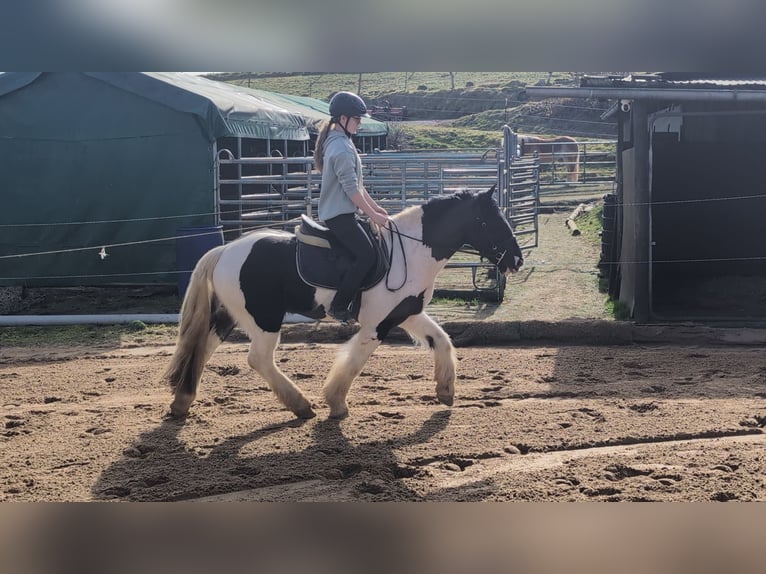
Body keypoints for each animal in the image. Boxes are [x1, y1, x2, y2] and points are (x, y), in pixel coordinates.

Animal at [163, 186, 524, 420]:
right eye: (490, 220)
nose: (517, 260)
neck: (411, 251)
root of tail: (224, 250)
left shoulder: (407, 313)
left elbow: (442, 340)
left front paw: (446, 391)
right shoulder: (377, 324)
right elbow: (354, 362)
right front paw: (336, 403)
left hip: (230, 316)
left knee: (202, 348)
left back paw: (182, 403)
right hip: (264, 319)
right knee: (258, 359)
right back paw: (300, 405)